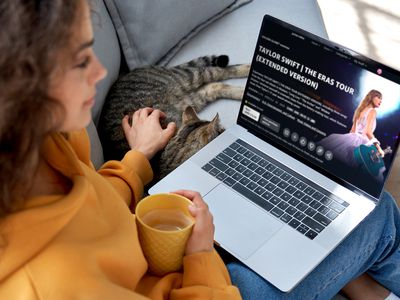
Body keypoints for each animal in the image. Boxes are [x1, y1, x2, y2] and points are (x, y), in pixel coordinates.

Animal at [98, 54, 248, 178]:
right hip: (192, 97)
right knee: (214, 84)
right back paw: (242, 92)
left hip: (188, 79)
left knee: (217, 71)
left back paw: (247, 70)